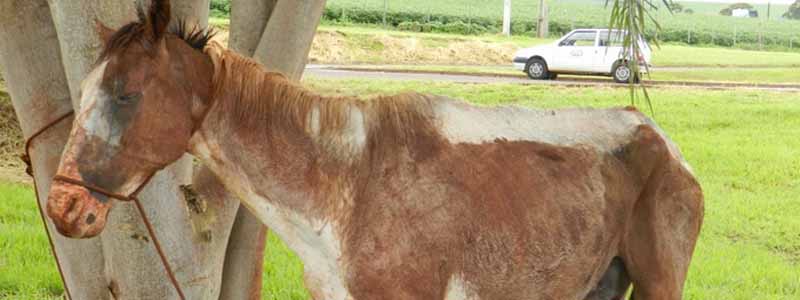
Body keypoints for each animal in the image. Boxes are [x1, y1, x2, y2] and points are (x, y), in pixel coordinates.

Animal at [47, 1, 704, 298]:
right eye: (83, 93)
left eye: (127, 95)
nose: (62, 207)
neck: (345, 184)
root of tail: (662, 142)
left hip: (659, 281)